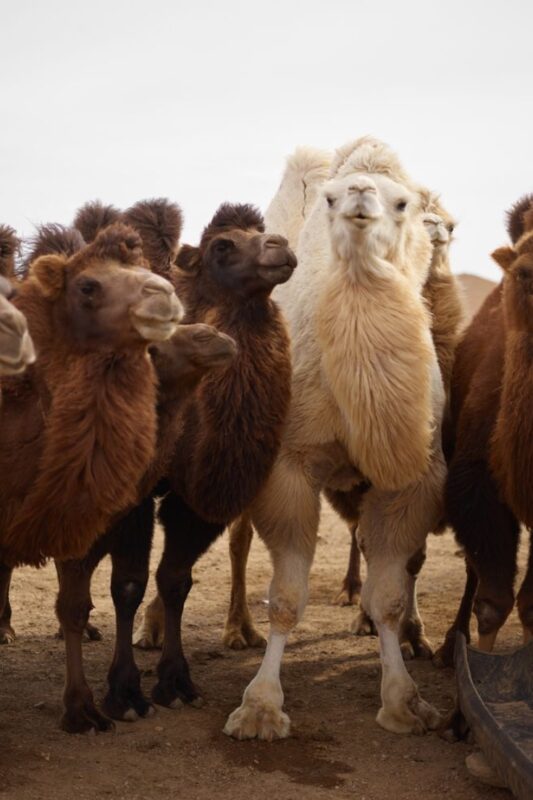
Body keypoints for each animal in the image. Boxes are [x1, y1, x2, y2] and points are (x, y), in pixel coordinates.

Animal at [223, 137, 446, 741]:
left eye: (402, 203)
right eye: (330, 198)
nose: (361, 196)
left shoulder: (412, 477)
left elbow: (391, 593)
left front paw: (404, 702)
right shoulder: (289, 466)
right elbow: (285, 598)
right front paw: (260, 708)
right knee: (239, 540)